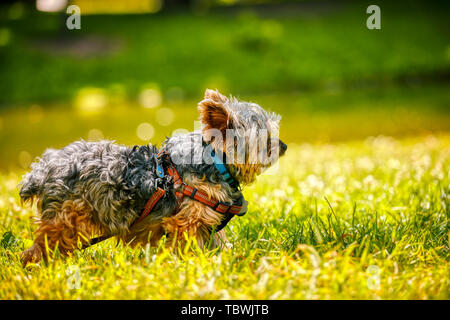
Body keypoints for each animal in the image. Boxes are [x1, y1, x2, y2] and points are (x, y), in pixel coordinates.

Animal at [19, 89, 286, 264]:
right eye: (267, 138)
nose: (283, 146)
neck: (215, 161)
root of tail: (43, 168)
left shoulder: (208, 223)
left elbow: (218, 244)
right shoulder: (186, 222)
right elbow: (185, 246)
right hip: (65, 220)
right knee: (39, 249)